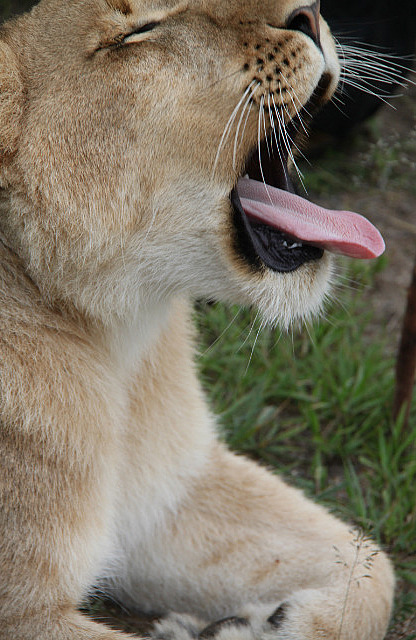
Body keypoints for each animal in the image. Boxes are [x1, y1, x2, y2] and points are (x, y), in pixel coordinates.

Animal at [0, 1, 394, 639]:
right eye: (137, 32)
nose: (310, 12)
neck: (117, 338)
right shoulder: (25, 613)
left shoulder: (172, 495)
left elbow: (370, 561)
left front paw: (269, 624)